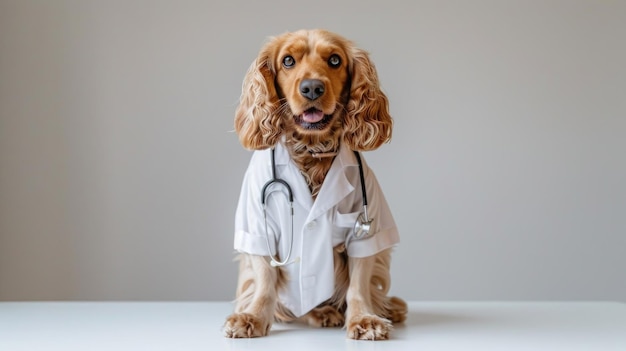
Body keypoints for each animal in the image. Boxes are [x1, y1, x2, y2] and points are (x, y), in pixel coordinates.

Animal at [223, 29, 404, 340]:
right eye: (287, 60)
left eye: (334, 60)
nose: (311, 88)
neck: (311, 150)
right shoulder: (257, 227)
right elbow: (263, 278)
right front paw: (252, 317)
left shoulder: (366, 232)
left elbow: (360, 282)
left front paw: (364, 319)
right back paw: (321, 312)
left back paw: (387, 309)